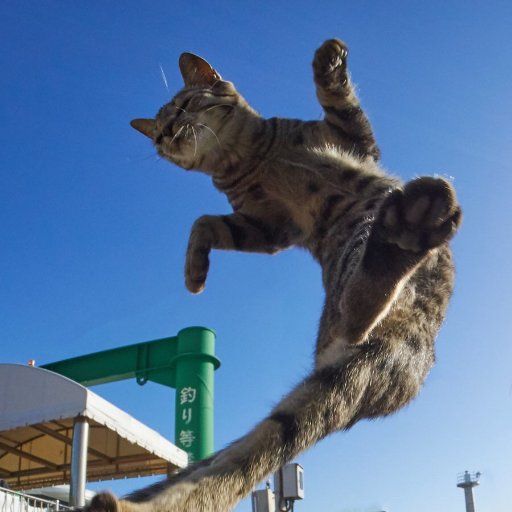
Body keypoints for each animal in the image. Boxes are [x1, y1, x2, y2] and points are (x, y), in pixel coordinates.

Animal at [90, 38, 462, 510]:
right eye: (157, 135)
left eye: (182, 108)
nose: (168, 135)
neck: (245, 157)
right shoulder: (263, 226)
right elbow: (203, 222)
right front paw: (194, 274)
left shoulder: (352, 145)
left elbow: (341, 102)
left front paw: (329, 60)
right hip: (347, 268)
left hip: (358, 229)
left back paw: (410, 226)